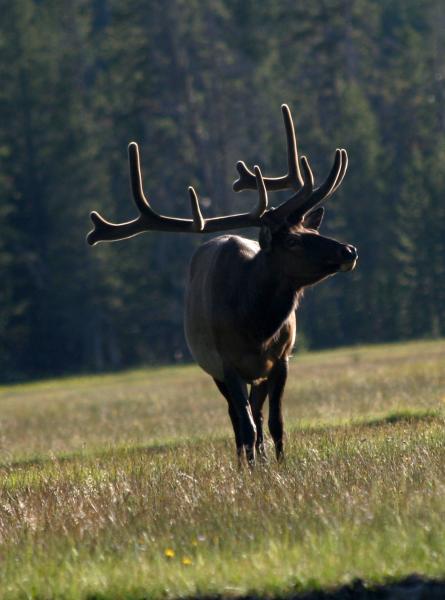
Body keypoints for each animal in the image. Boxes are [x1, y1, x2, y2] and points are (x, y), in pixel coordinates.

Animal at [86, 105, 358, 466]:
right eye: (293, 243)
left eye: (311, 231)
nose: (349, 250)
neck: (256, 327)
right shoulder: (227, 363)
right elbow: (246, 425)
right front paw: (250, 468)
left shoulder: (281, 359)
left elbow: (276, 422)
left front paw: (280, 463)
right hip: (214, 368)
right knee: (237, 418)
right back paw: (246, 461)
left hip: (257, 373)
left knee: (257, 412)